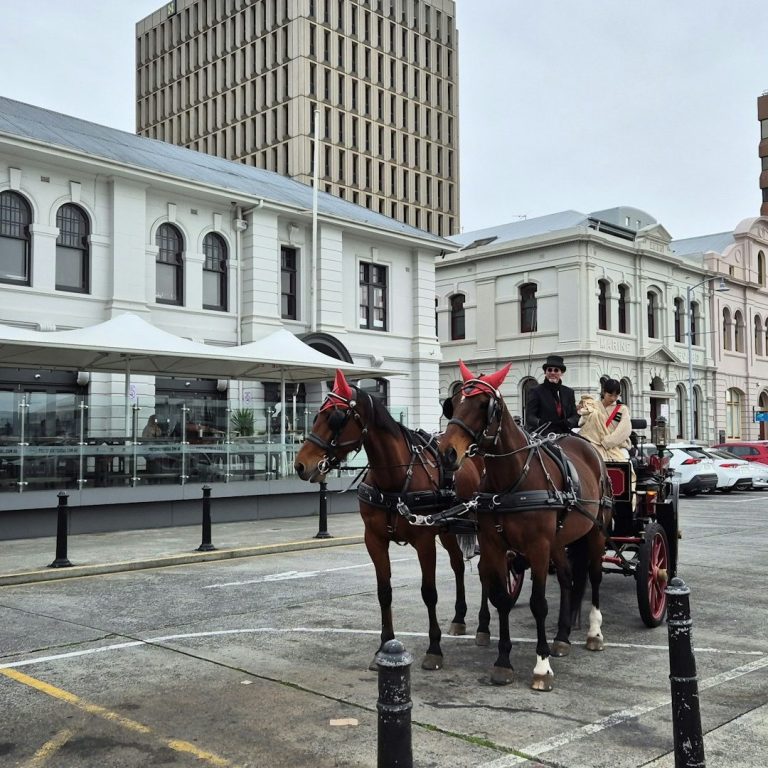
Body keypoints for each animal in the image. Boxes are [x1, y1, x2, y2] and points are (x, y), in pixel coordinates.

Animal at [293, 369, 488, 670]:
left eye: (335, 417)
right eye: (316, 415)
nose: (301, 465)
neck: (395, 478)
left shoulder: (424, 541)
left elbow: (429, 592)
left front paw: (434, 648)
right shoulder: (374, 539)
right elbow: (384, 592)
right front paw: (384, 646)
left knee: (485, 569)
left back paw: (483, 626)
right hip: (447, 529)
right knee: (457, 565)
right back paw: (459, 617)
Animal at [439, 361, 613, 691]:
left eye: (483, 405)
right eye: (452, 402)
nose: (447, 453)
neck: (511, 481)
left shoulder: (537, 547)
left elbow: (538, 603)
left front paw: (542, 666)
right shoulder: (494, 546)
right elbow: (502, 599)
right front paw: (503, 662)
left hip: (596, 531)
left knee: (595, 576)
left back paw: (595, 633)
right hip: (559, 541)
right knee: (569, 578)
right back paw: (562, 637)